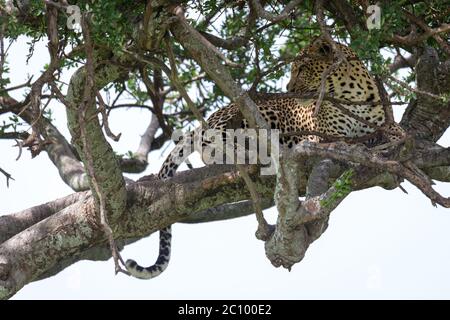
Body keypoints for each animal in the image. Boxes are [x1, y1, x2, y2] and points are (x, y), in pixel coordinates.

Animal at [125, 36, 406, 278]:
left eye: (302, 69)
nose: (288, 88)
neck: (352, 97)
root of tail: (207, 120)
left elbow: (390, 129)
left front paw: (393, 134)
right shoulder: (323, 137)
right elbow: (350, 140)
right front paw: (372, 141)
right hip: (248, 114)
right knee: (214, 145)